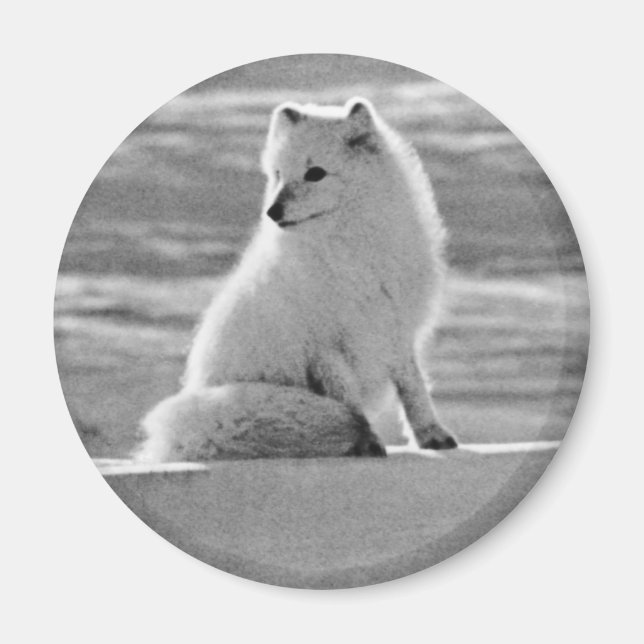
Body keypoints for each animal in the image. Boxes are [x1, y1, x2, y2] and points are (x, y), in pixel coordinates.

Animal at [137, 97, 458, 461]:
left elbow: (413, 388)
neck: (350, 252)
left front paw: (432, 435)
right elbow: (350, 403)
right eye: (278, 174)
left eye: (315, 173)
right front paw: (367, 441)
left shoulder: (396, 328)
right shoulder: (324, 346)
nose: (272, 212)